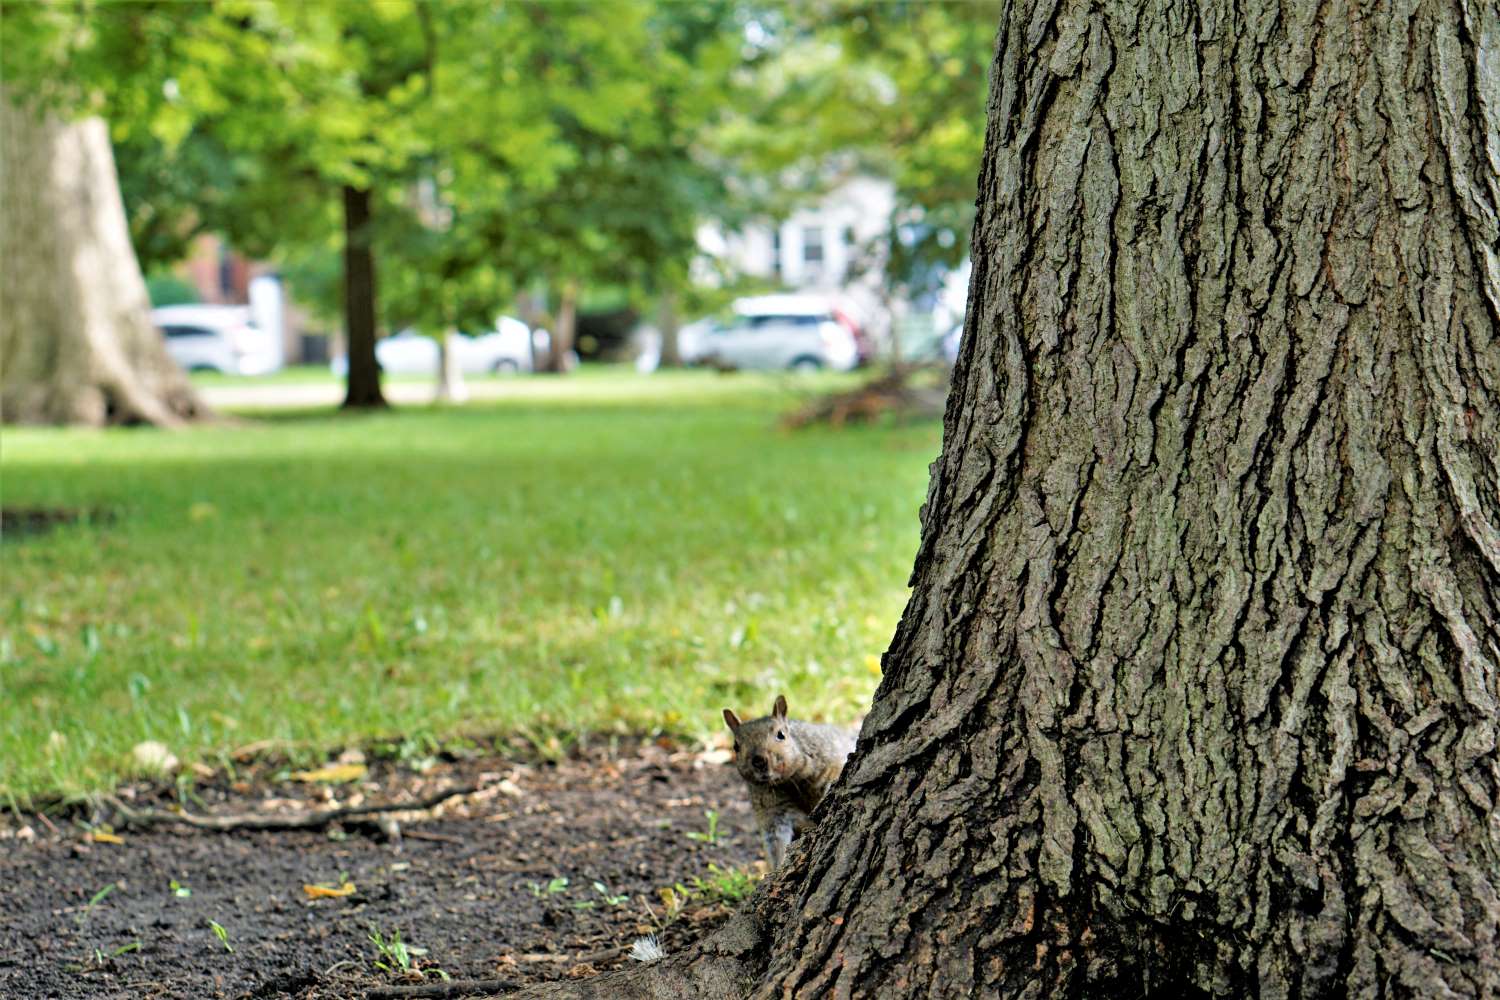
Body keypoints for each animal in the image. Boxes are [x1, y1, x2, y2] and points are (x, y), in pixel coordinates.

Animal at [722, 694, 856, 868]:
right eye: (736, 746)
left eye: (781, 735)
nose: (758, 760)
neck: (788, 781)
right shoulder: (773, 809)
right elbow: (776, 842)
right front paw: (776, 868)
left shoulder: (831, 759)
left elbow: (835, 776)